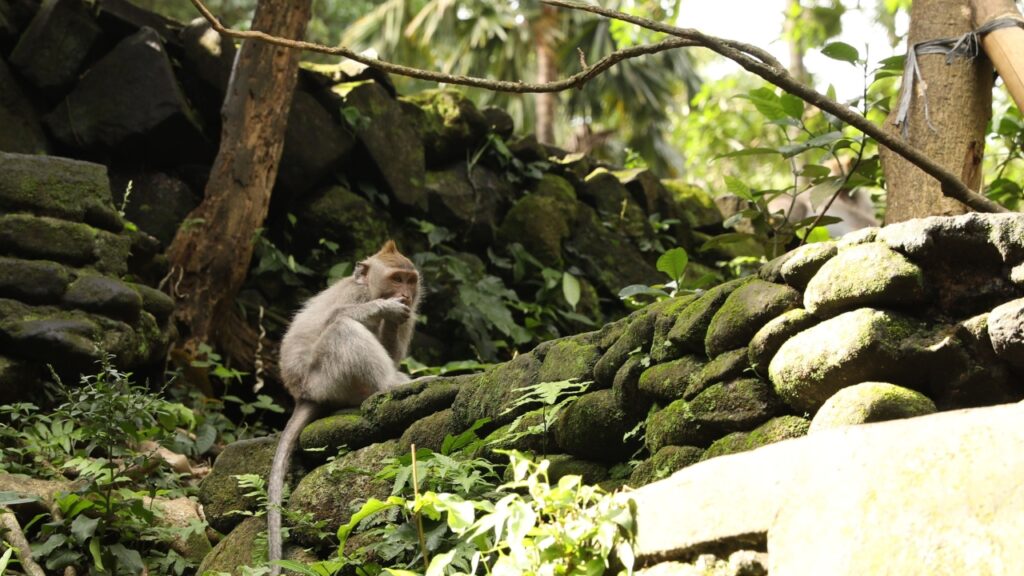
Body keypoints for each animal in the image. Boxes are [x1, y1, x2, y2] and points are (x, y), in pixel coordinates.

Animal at [267, 240, 421, 574]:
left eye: (410, 280)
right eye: (396, 278)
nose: (406, 294)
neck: (369, 289)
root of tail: (303, 394)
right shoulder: (355, 296)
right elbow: (336, 318)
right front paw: (385, 309)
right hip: (325, 380)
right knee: (341, 327)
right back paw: (391, 386)